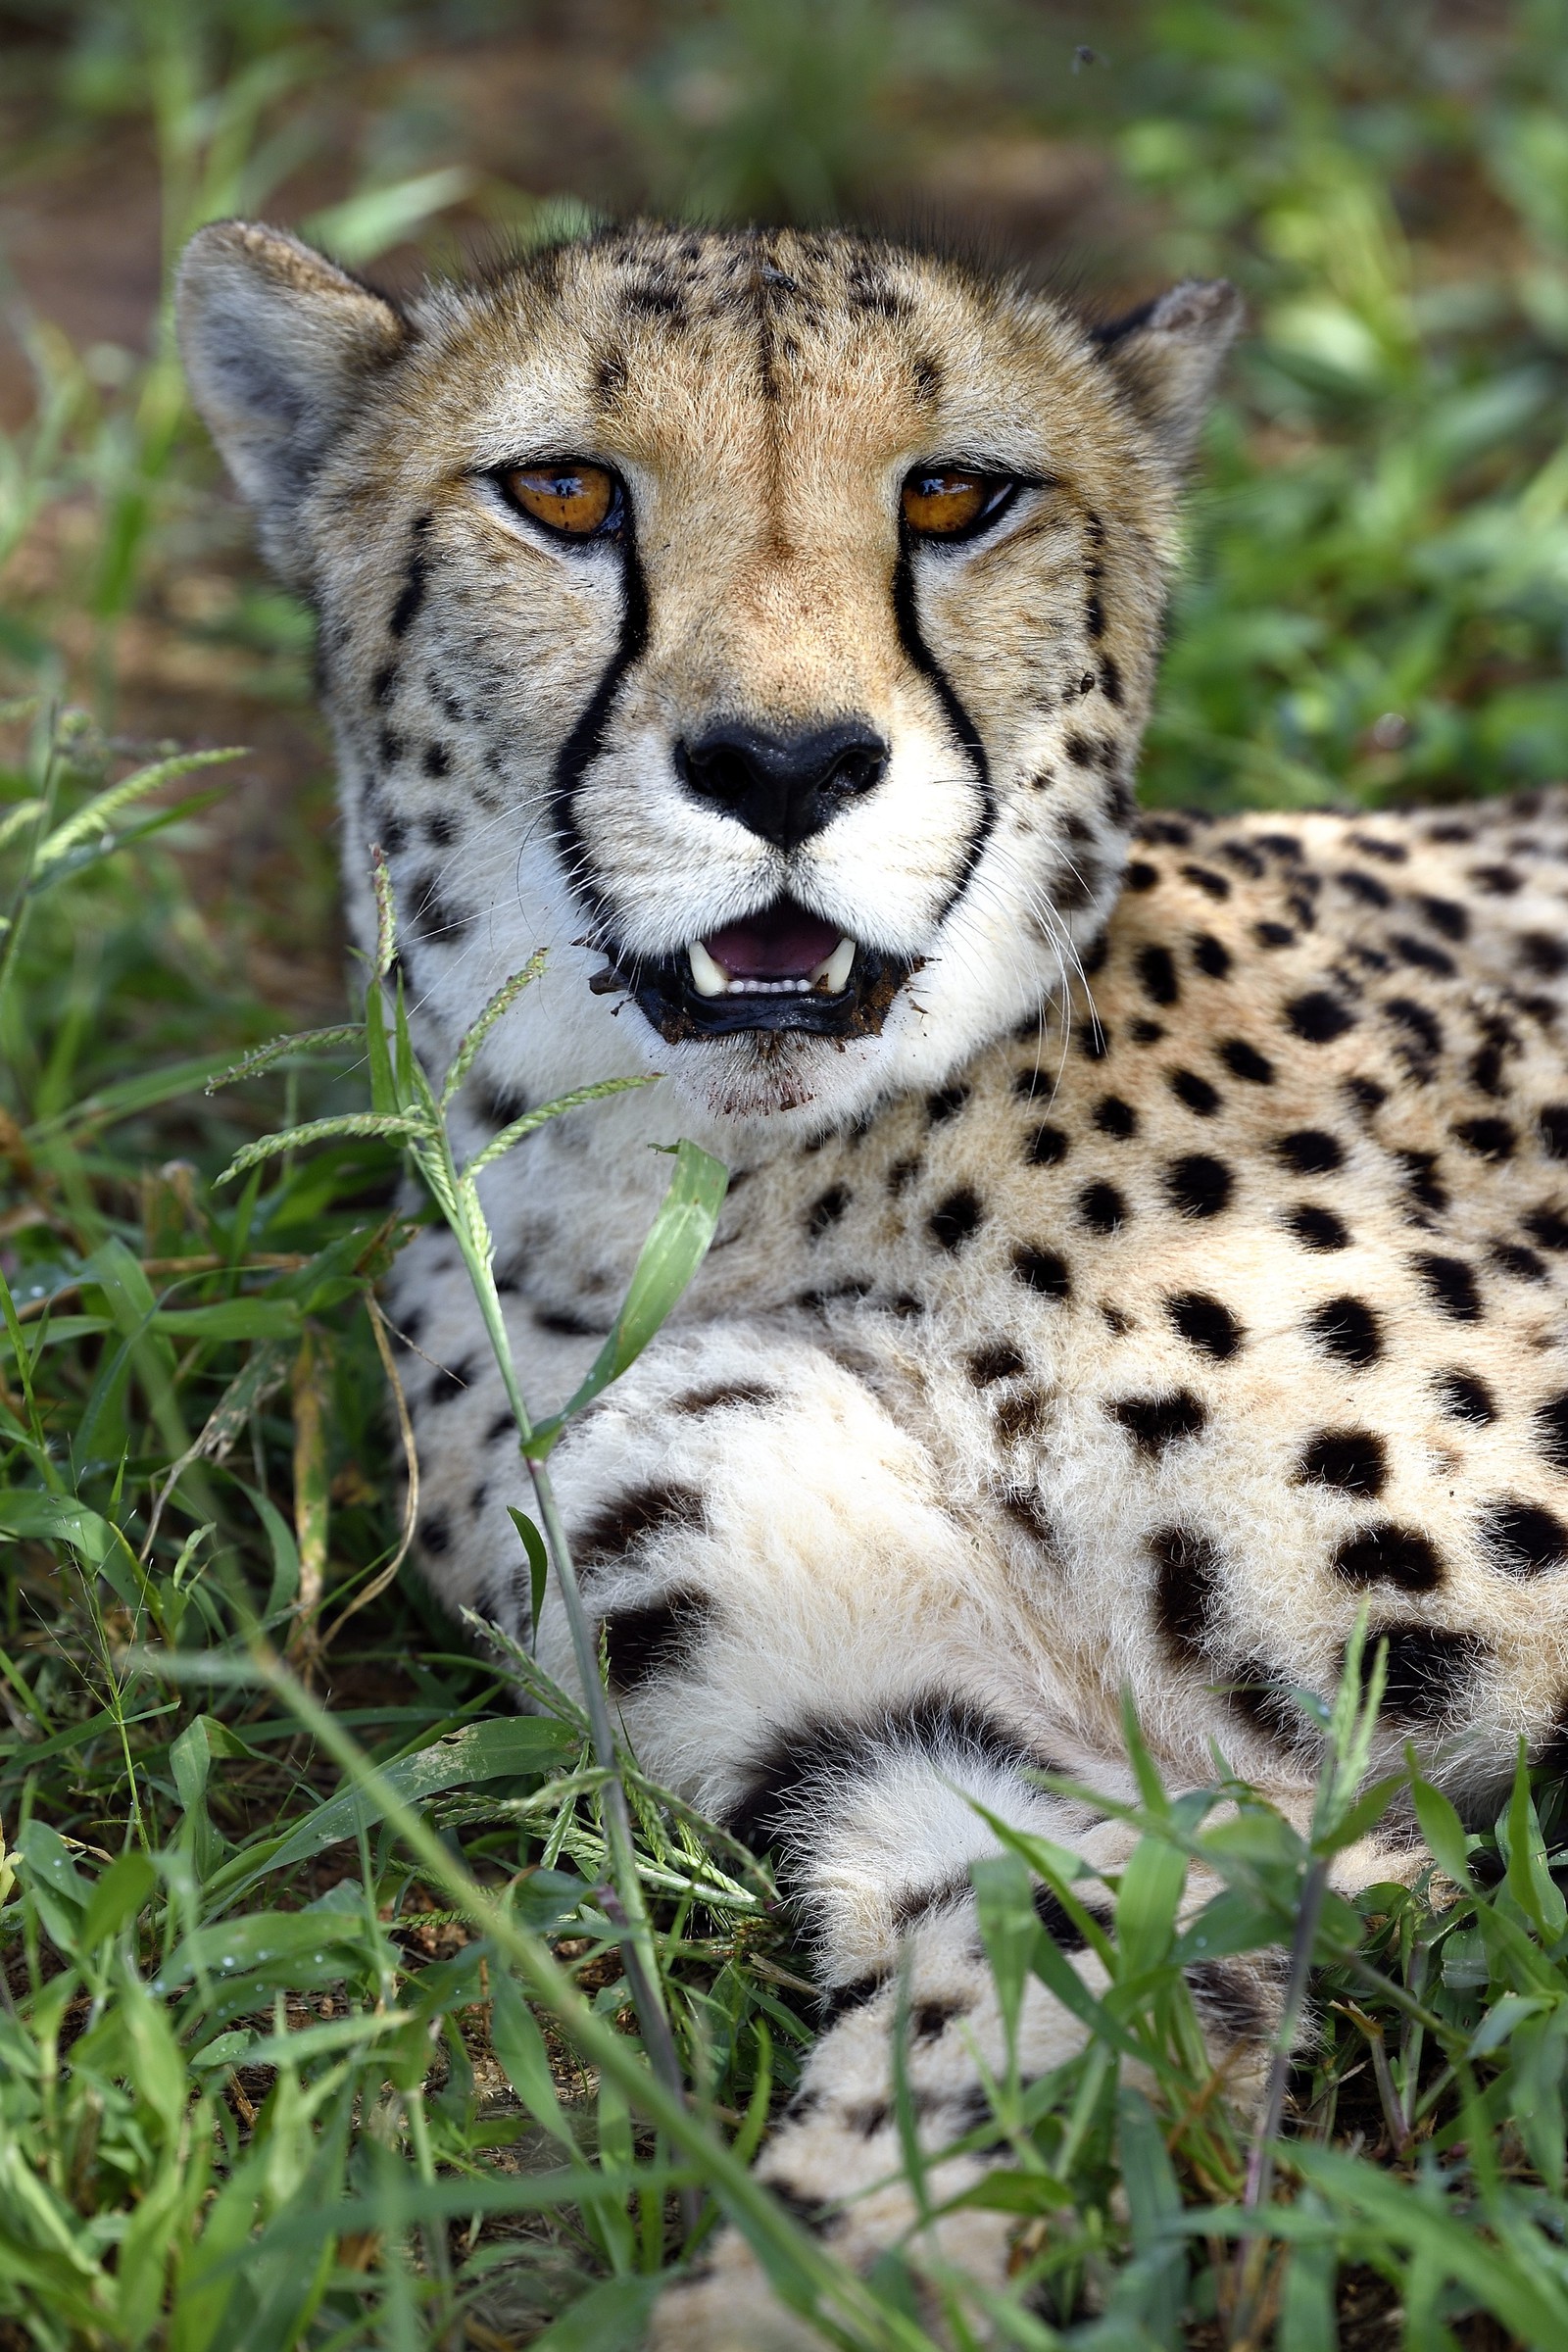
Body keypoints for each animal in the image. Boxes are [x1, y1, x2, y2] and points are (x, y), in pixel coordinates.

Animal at [179, 216, 1568, 2346]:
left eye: (955, 497)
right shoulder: (1003, 1790)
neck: (736, 1195)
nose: (782, 764)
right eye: (561, 493)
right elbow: (935, 2095)